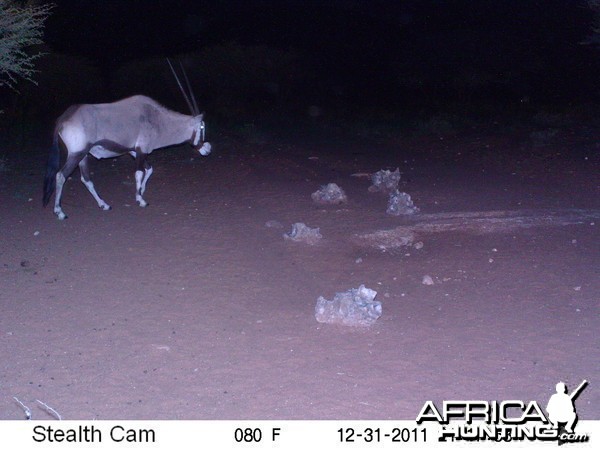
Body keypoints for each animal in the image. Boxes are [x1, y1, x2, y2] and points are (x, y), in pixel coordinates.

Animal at [42, 61, 211, 220]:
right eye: (202, 127)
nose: (207, 149)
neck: (157, 119)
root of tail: (63, 118)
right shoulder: (141, 150)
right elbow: (139, 173)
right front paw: (141, 200)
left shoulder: (135, 151)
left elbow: (149, 169)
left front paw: (141, 192)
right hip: (76, 154)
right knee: (61, 176)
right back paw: (60, 212)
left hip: (83, 156)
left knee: (86, 179)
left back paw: (104, 205)